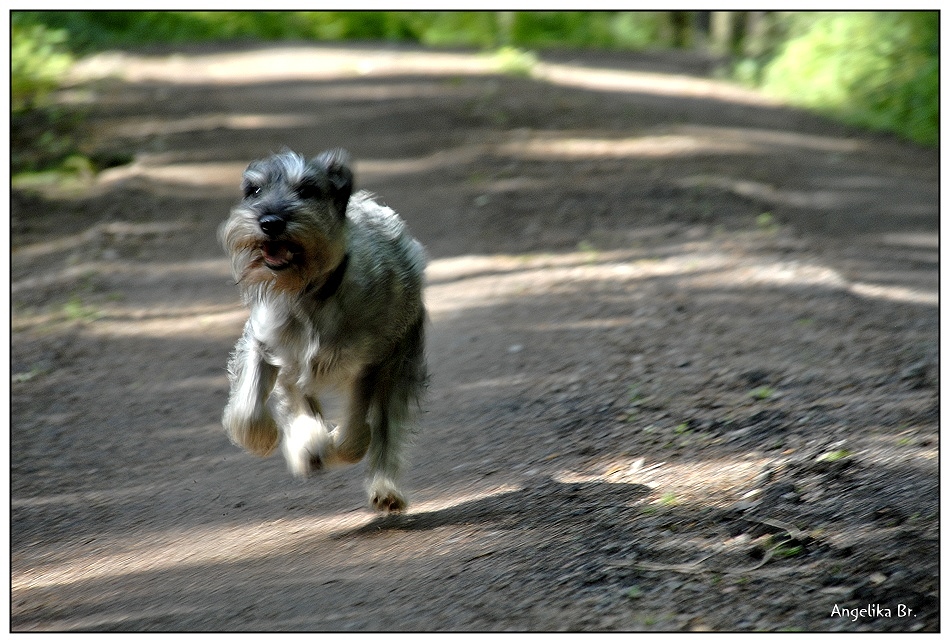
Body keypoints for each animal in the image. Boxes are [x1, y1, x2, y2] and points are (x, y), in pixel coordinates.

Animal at [219, 147, 428, 512]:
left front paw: (323, 447)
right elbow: (247, 411)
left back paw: (385, 488)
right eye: (254, 190)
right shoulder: (266, 346)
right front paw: (275, 440)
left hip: (398, 366)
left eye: (307, 190)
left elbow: (354, 437)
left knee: (386, 429)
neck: (308, 296)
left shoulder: (369, 364)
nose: (269, 222)